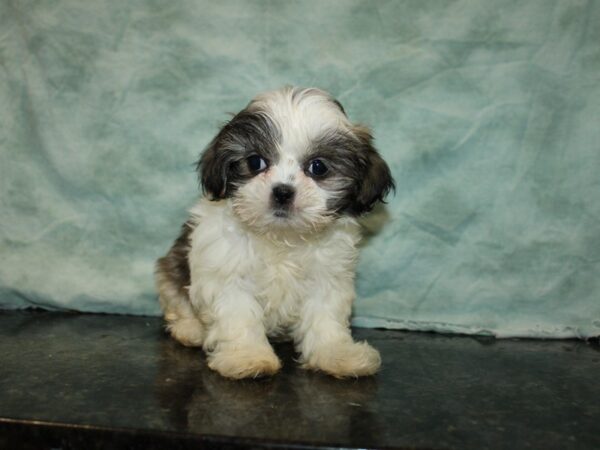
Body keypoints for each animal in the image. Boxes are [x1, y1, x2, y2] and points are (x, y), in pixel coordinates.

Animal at [155, 85, 394, 380]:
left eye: (318, 167)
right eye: (255, 162)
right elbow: (238, 315)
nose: (282, 191)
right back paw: (190, 329)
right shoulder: (227, 272)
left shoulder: (327, 276)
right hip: (169, 271)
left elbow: (325, 317)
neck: (281, 237)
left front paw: (336, 354)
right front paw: (247, 356)